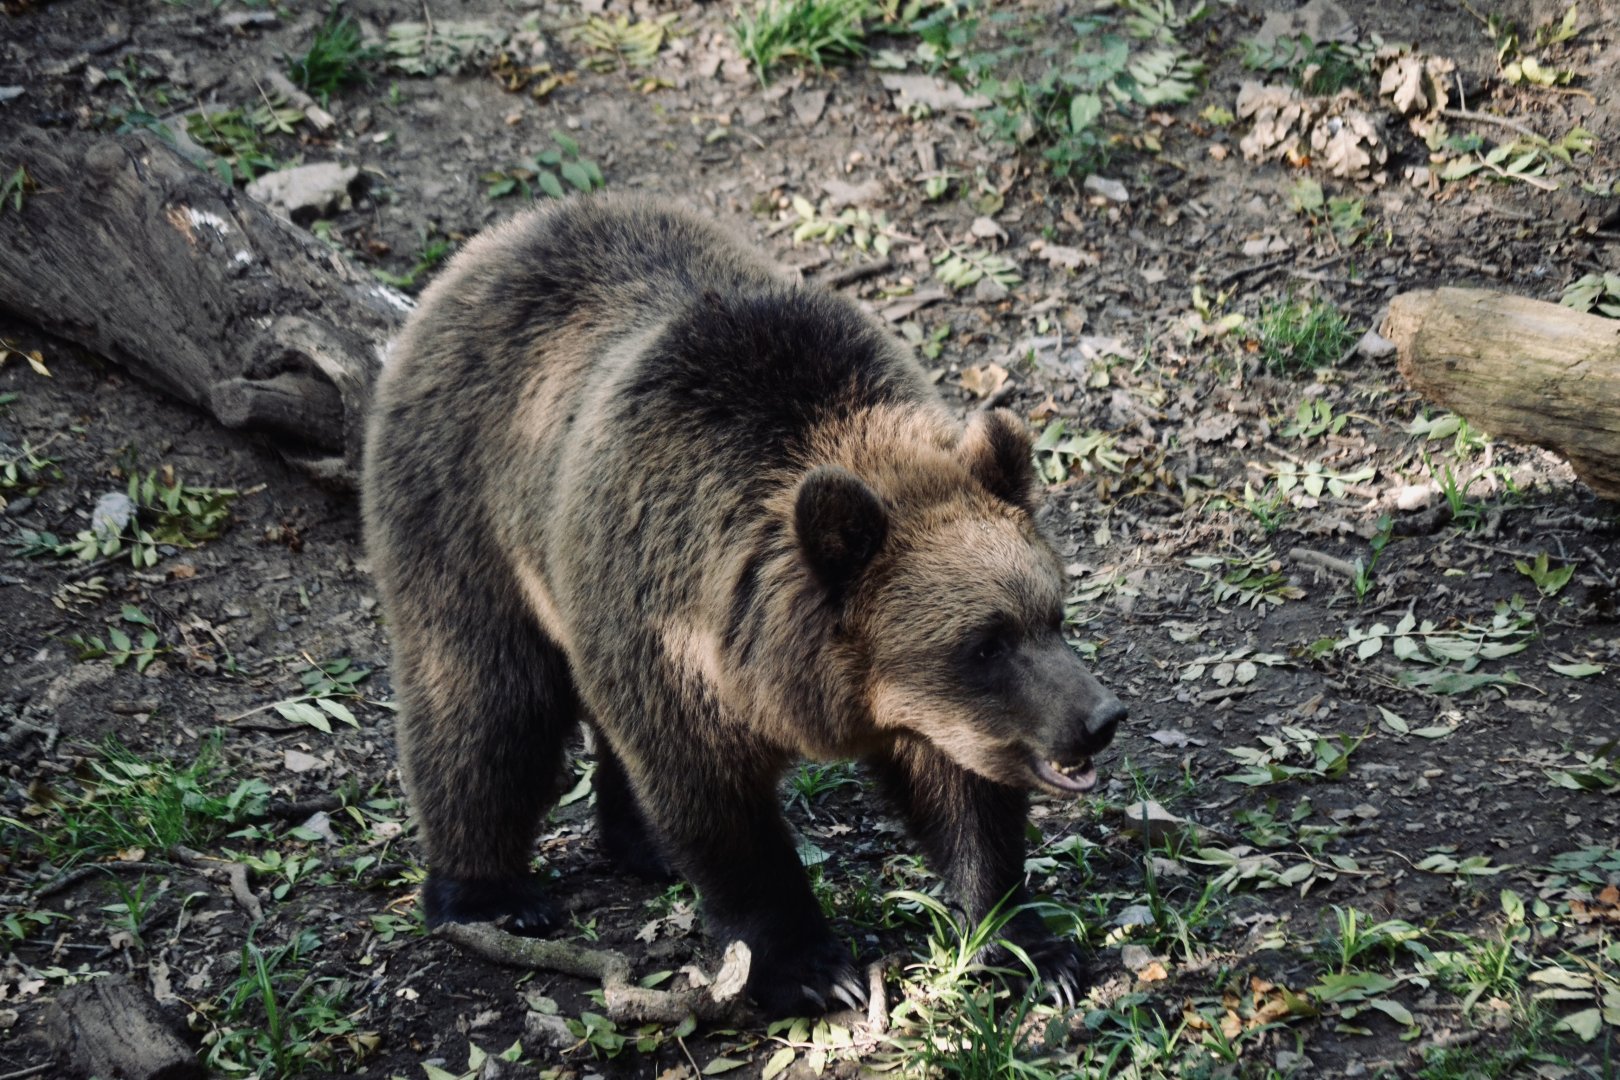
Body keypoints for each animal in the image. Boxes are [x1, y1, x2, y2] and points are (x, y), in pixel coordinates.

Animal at [362, 195, 1125, 1017]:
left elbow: (965, 796)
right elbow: (718, 809)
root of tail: (493, 245)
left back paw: (640, 844)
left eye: (1051, 615)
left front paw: (1030, 944)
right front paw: (811, 967)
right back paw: (489, 894)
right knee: (487, 700)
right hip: (467, 510)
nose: (1099, 717)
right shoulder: (671, 634)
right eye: (986, 642)